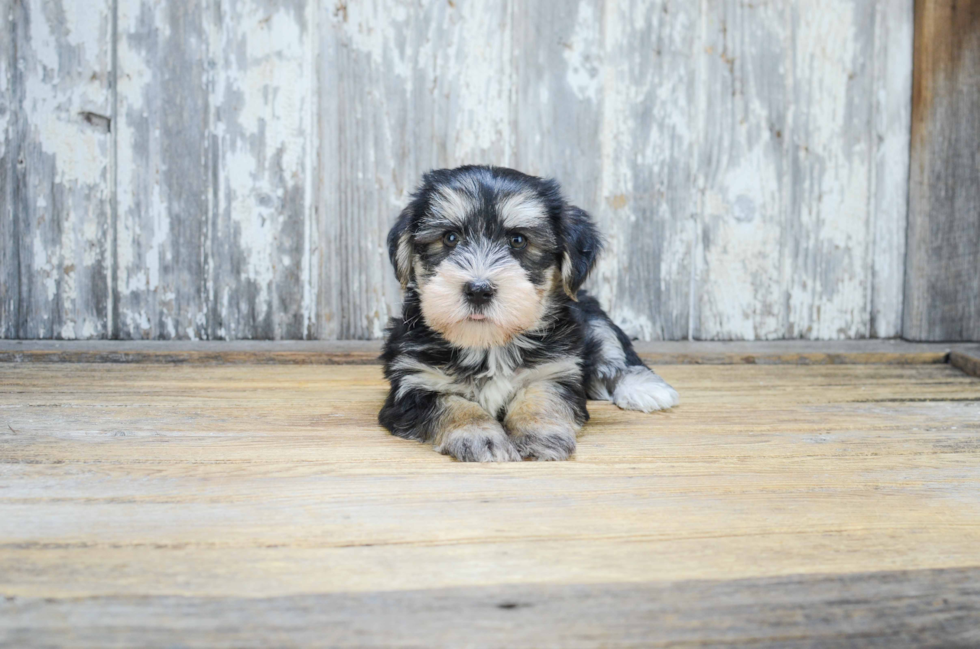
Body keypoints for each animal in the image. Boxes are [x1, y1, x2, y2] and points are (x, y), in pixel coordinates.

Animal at [378, 167, 676, 460]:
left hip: (592, 316)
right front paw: (478, 436)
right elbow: (452, 404)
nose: (478, 290)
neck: (488, 345)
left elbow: (541, 394)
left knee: (612, 352)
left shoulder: (555, 369)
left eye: (518, 240)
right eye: (450, 238)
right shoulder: (414, 382)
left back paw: (645, 389)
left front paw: (541, 431)